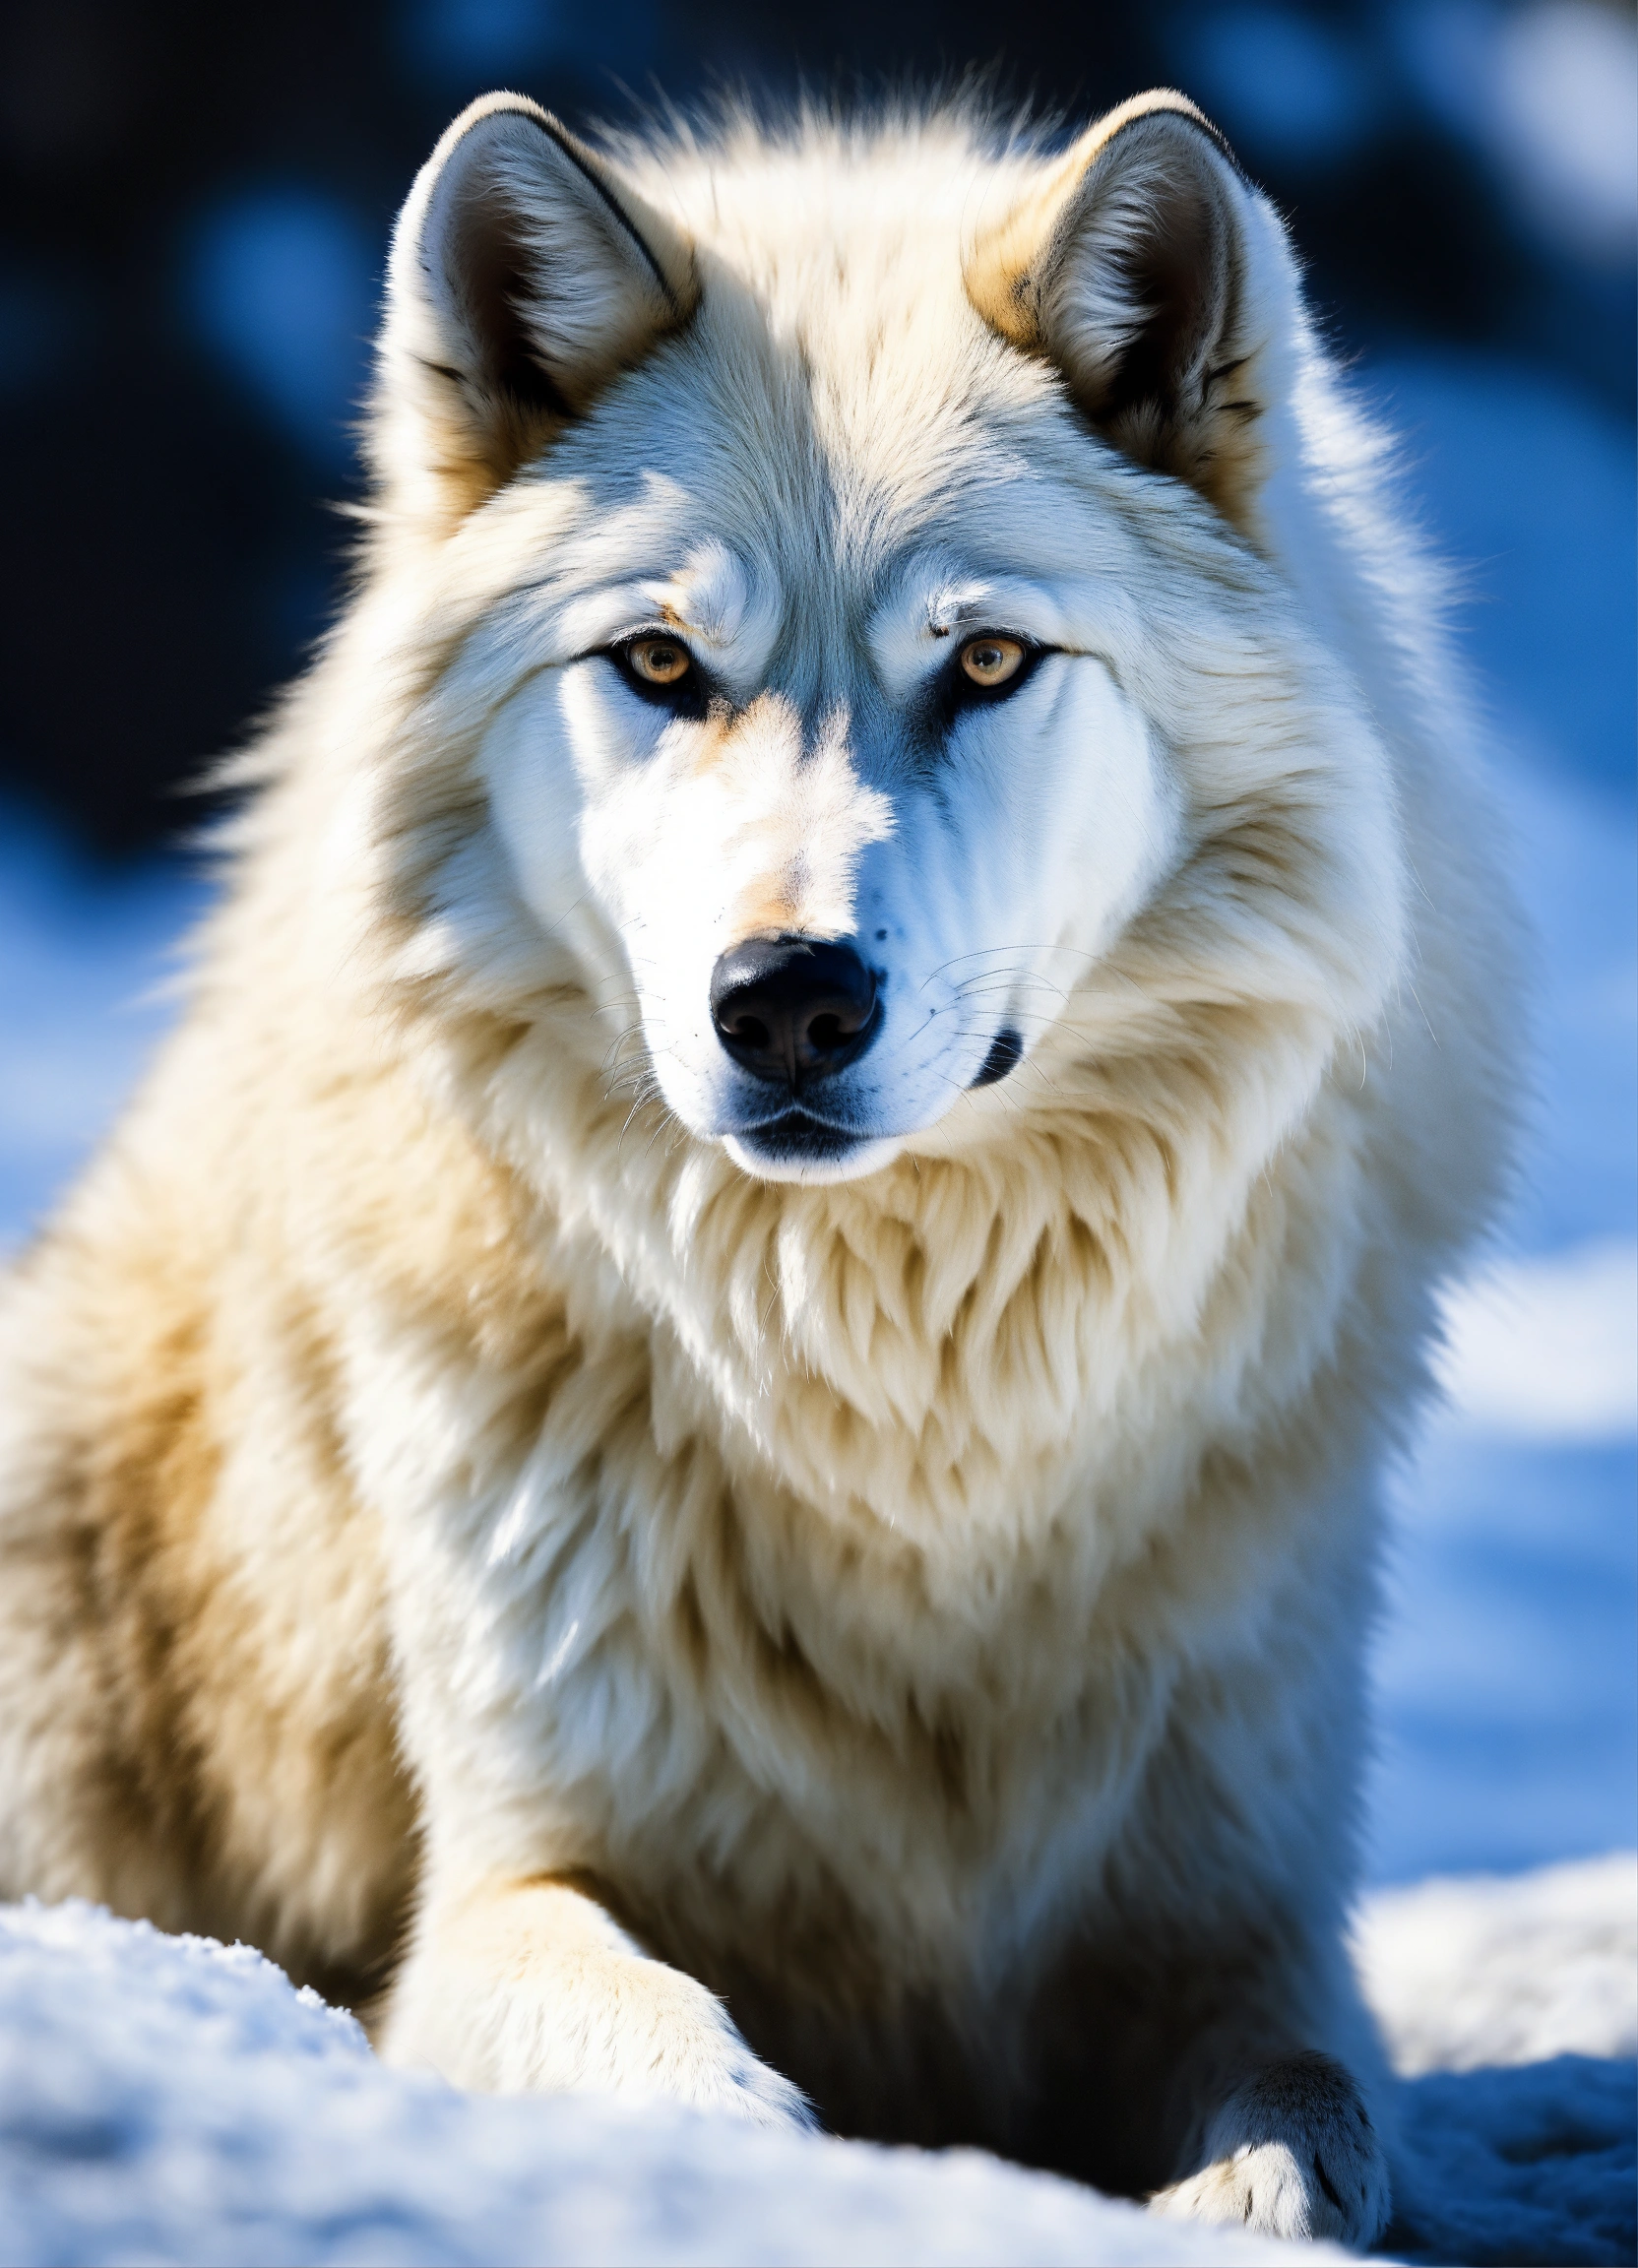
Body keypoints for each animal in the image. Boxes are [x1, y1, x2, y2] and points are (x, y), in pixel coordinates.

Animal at [0, 88, 1513, 2243]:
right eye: (656, 665)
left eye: (986, 664)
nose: (783, 1000)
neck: (888, 1399)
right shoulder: (500, 1887)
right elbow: (676, 2069)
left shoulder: (1238, 1912)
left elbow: (1311, 2115)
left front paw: (1231, 2204)